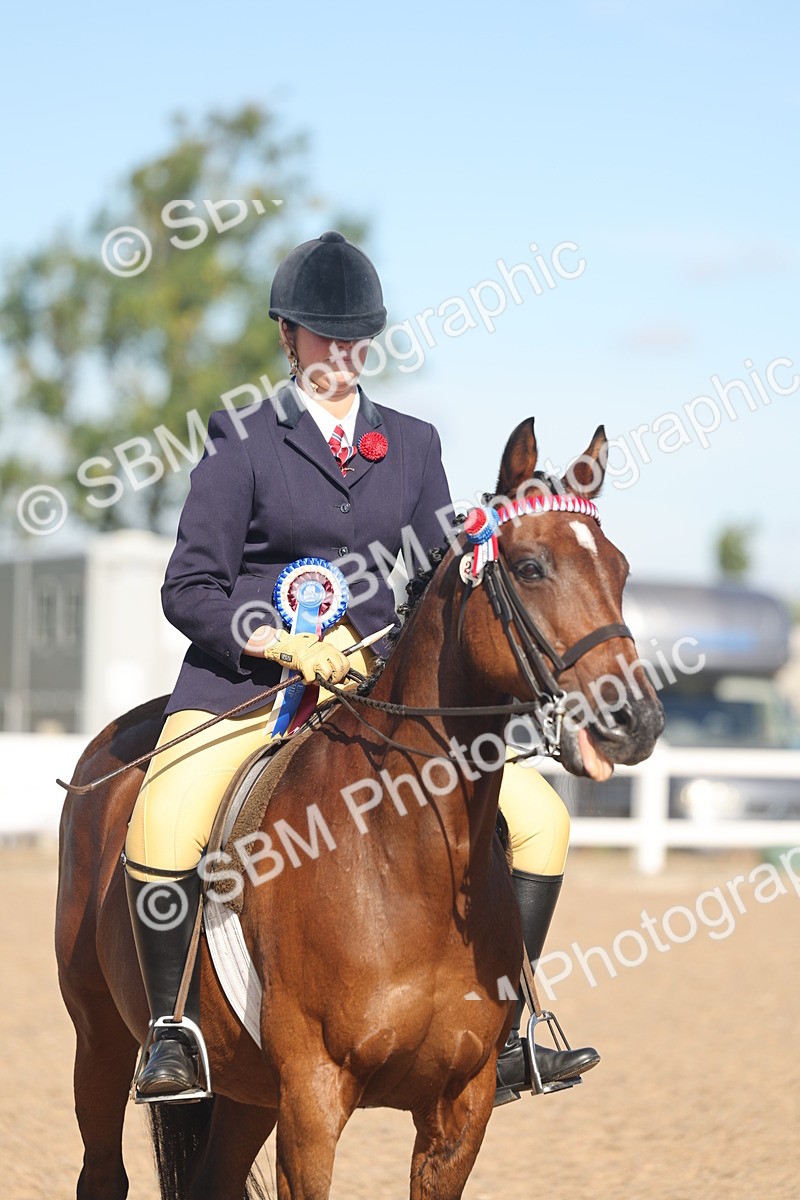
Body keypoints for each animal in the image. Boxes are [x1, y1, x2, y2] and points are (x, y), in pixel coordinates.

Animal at [55, 417, 664, 1200]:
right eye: (530, 567)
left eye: (619, 571)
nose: (635, 722)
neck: (408, 860)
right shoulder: (314, 1100)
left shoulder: (460, 1109)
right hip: (99, 1042)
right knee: (102, 1167)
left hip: (247, 1091)